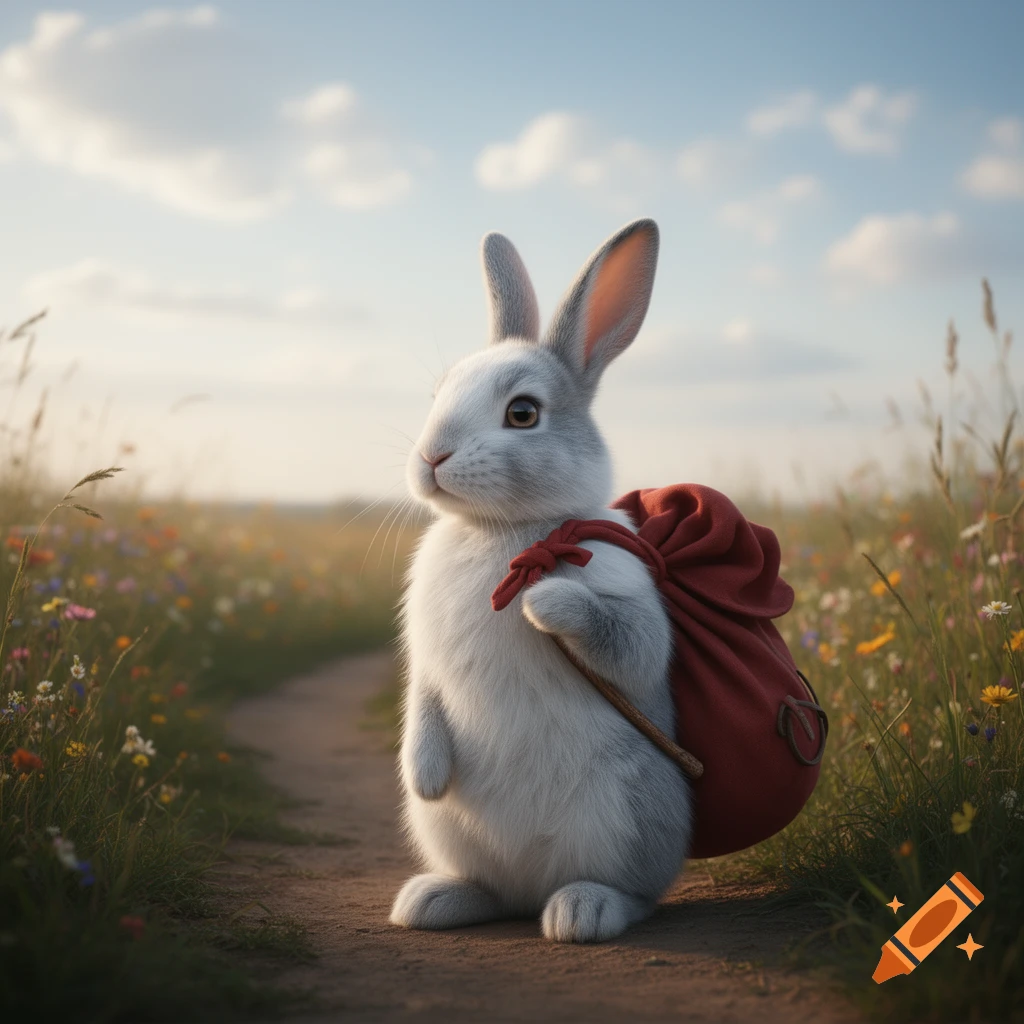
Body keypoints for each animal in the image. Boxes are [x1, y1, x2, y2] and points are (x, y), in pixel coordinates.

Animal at [390, 218, 691, 944]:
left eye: (523, 413)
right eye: (440, 391)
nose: (430, 457)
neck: (506, 530)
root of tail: (532, 888)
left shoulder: (628, 591)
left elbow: (632, 645)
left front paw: (543, 597)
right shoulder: (423, 663)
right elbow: (421, 698)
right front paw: (424, 776)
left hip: (630, 810)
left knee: (637, 893)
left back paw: (582, 911)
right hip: (450, 835)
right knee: (490, 890)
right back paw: (432, 900)